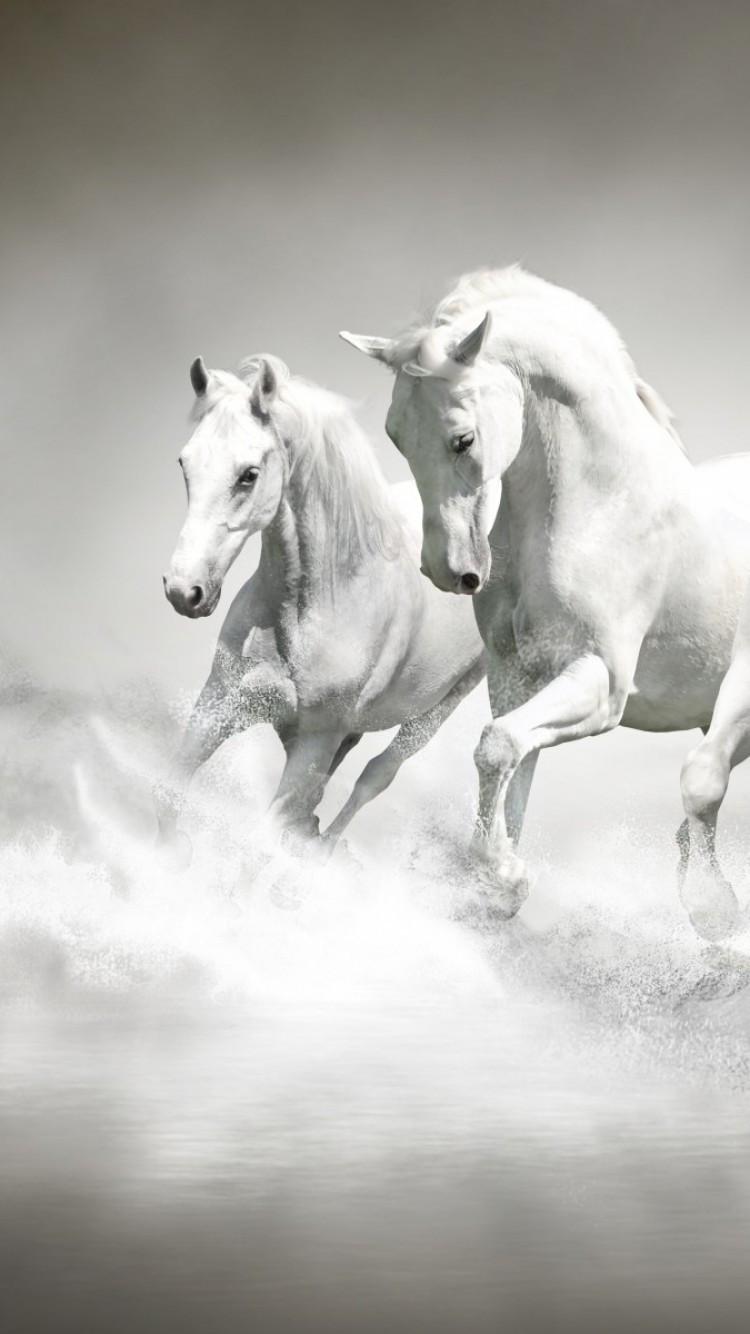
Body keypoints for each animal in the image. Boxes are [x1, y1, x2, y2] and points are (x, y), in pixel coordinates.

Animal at [158, 353, 485, 861]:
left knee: (376, 775)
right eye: (184, 463)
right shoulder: (220, 704)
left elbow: (263, 841)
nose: (184, 591)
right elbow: (169, 796)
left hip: (441, 706)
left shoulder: (314, 740)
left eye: (249, 474)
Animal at [341, 266, 750, 939]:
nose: (448, 571)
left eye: (463, 439)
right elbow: (506, 761)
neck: (604, 505)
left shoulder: (603, 682)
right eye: (395, 436)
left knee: (705, 775)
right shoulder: (519, 676)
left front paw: (711, 908)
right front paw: (498, 883)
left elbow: (503, 748)